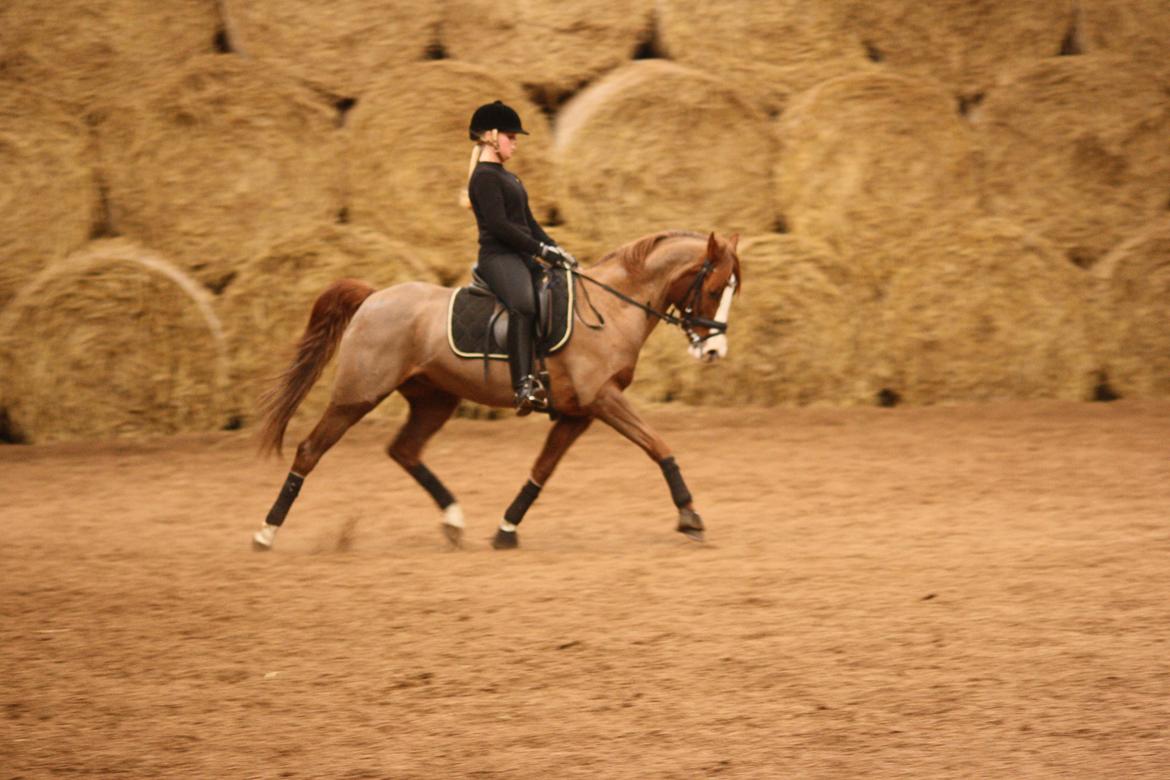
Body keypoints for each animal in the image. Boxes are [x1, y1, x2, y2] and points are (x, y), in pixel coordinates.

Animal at [251, 229, 742, 551]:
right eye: (715, 288)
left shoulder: (578, 413)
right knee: (310, 450)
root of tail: (373, 297)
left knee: (404, 450)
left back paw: (453, 520)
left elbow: (542, 469)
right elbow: (657, 444)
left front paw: (507, 529)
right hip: (357, 396)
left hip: (434, 400)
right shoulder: (603, 399)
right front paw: (690, 516)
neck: (610, 307)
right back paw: (266, 531)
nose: (714, 350)